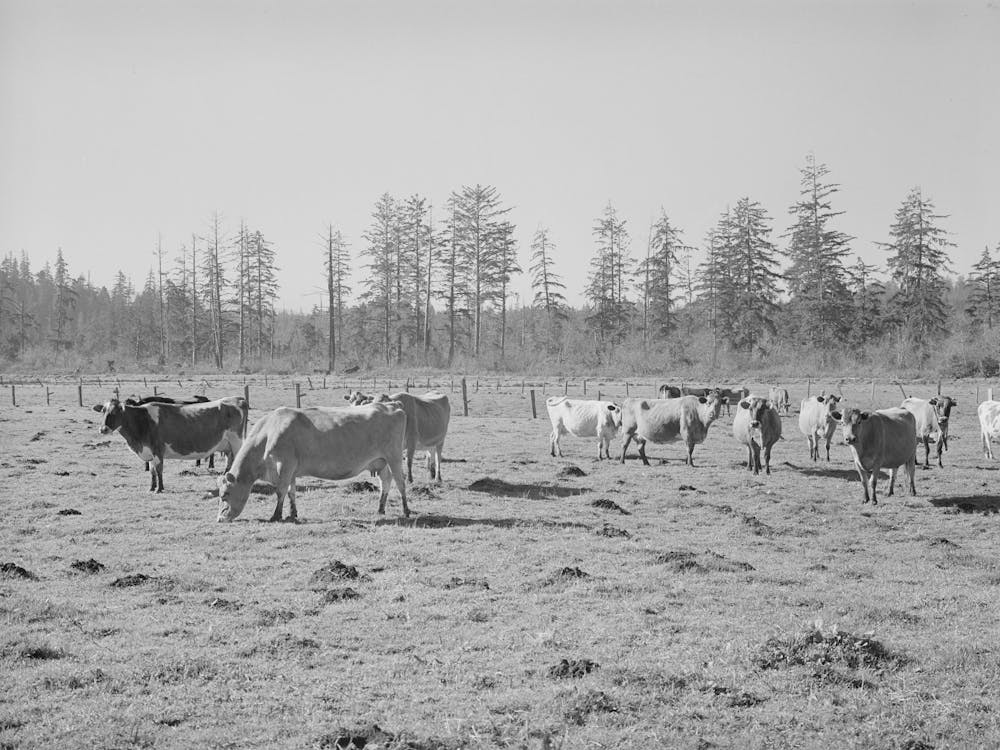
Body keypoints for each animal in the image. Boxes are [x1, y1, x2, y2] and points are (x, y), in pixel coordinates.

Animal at [93, 396, 248, 492]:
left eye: (116, 411)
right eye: (103, 411)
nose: (103, 429)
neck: (142, 420)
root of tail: (237, 399)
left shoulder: (157, 449)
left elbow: (159, 470)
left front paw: (159, 489)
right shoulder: (150, 452)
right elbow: (152, 471)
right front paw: (151, 487)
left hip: (236, 441)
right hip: (227, 445)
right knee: (230, 461)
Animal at [216, 402, 408, 522]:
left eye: (224, 494)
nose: (219, 518)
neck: (268, 433)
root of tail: (390, 406)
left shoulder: (285, 466)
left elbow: (280, 491)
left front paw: (276, 515)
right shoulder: (291, 470)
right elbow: (291, 492)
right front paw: (292, 513)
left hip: (394, 457)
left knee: (400, 482)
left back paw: (406, 510)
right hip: (381, 461)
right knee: (385, 482)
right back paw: (380, 508)